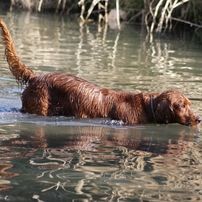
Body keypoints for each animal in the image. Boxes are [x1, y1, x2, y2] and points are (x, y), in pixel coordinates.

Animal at [0, 19, 200, 126]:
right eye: (182, 106)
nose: (198, 119)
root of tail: (36, 77)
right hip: (38, 107)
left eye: (189, 104)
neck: (147, 107)